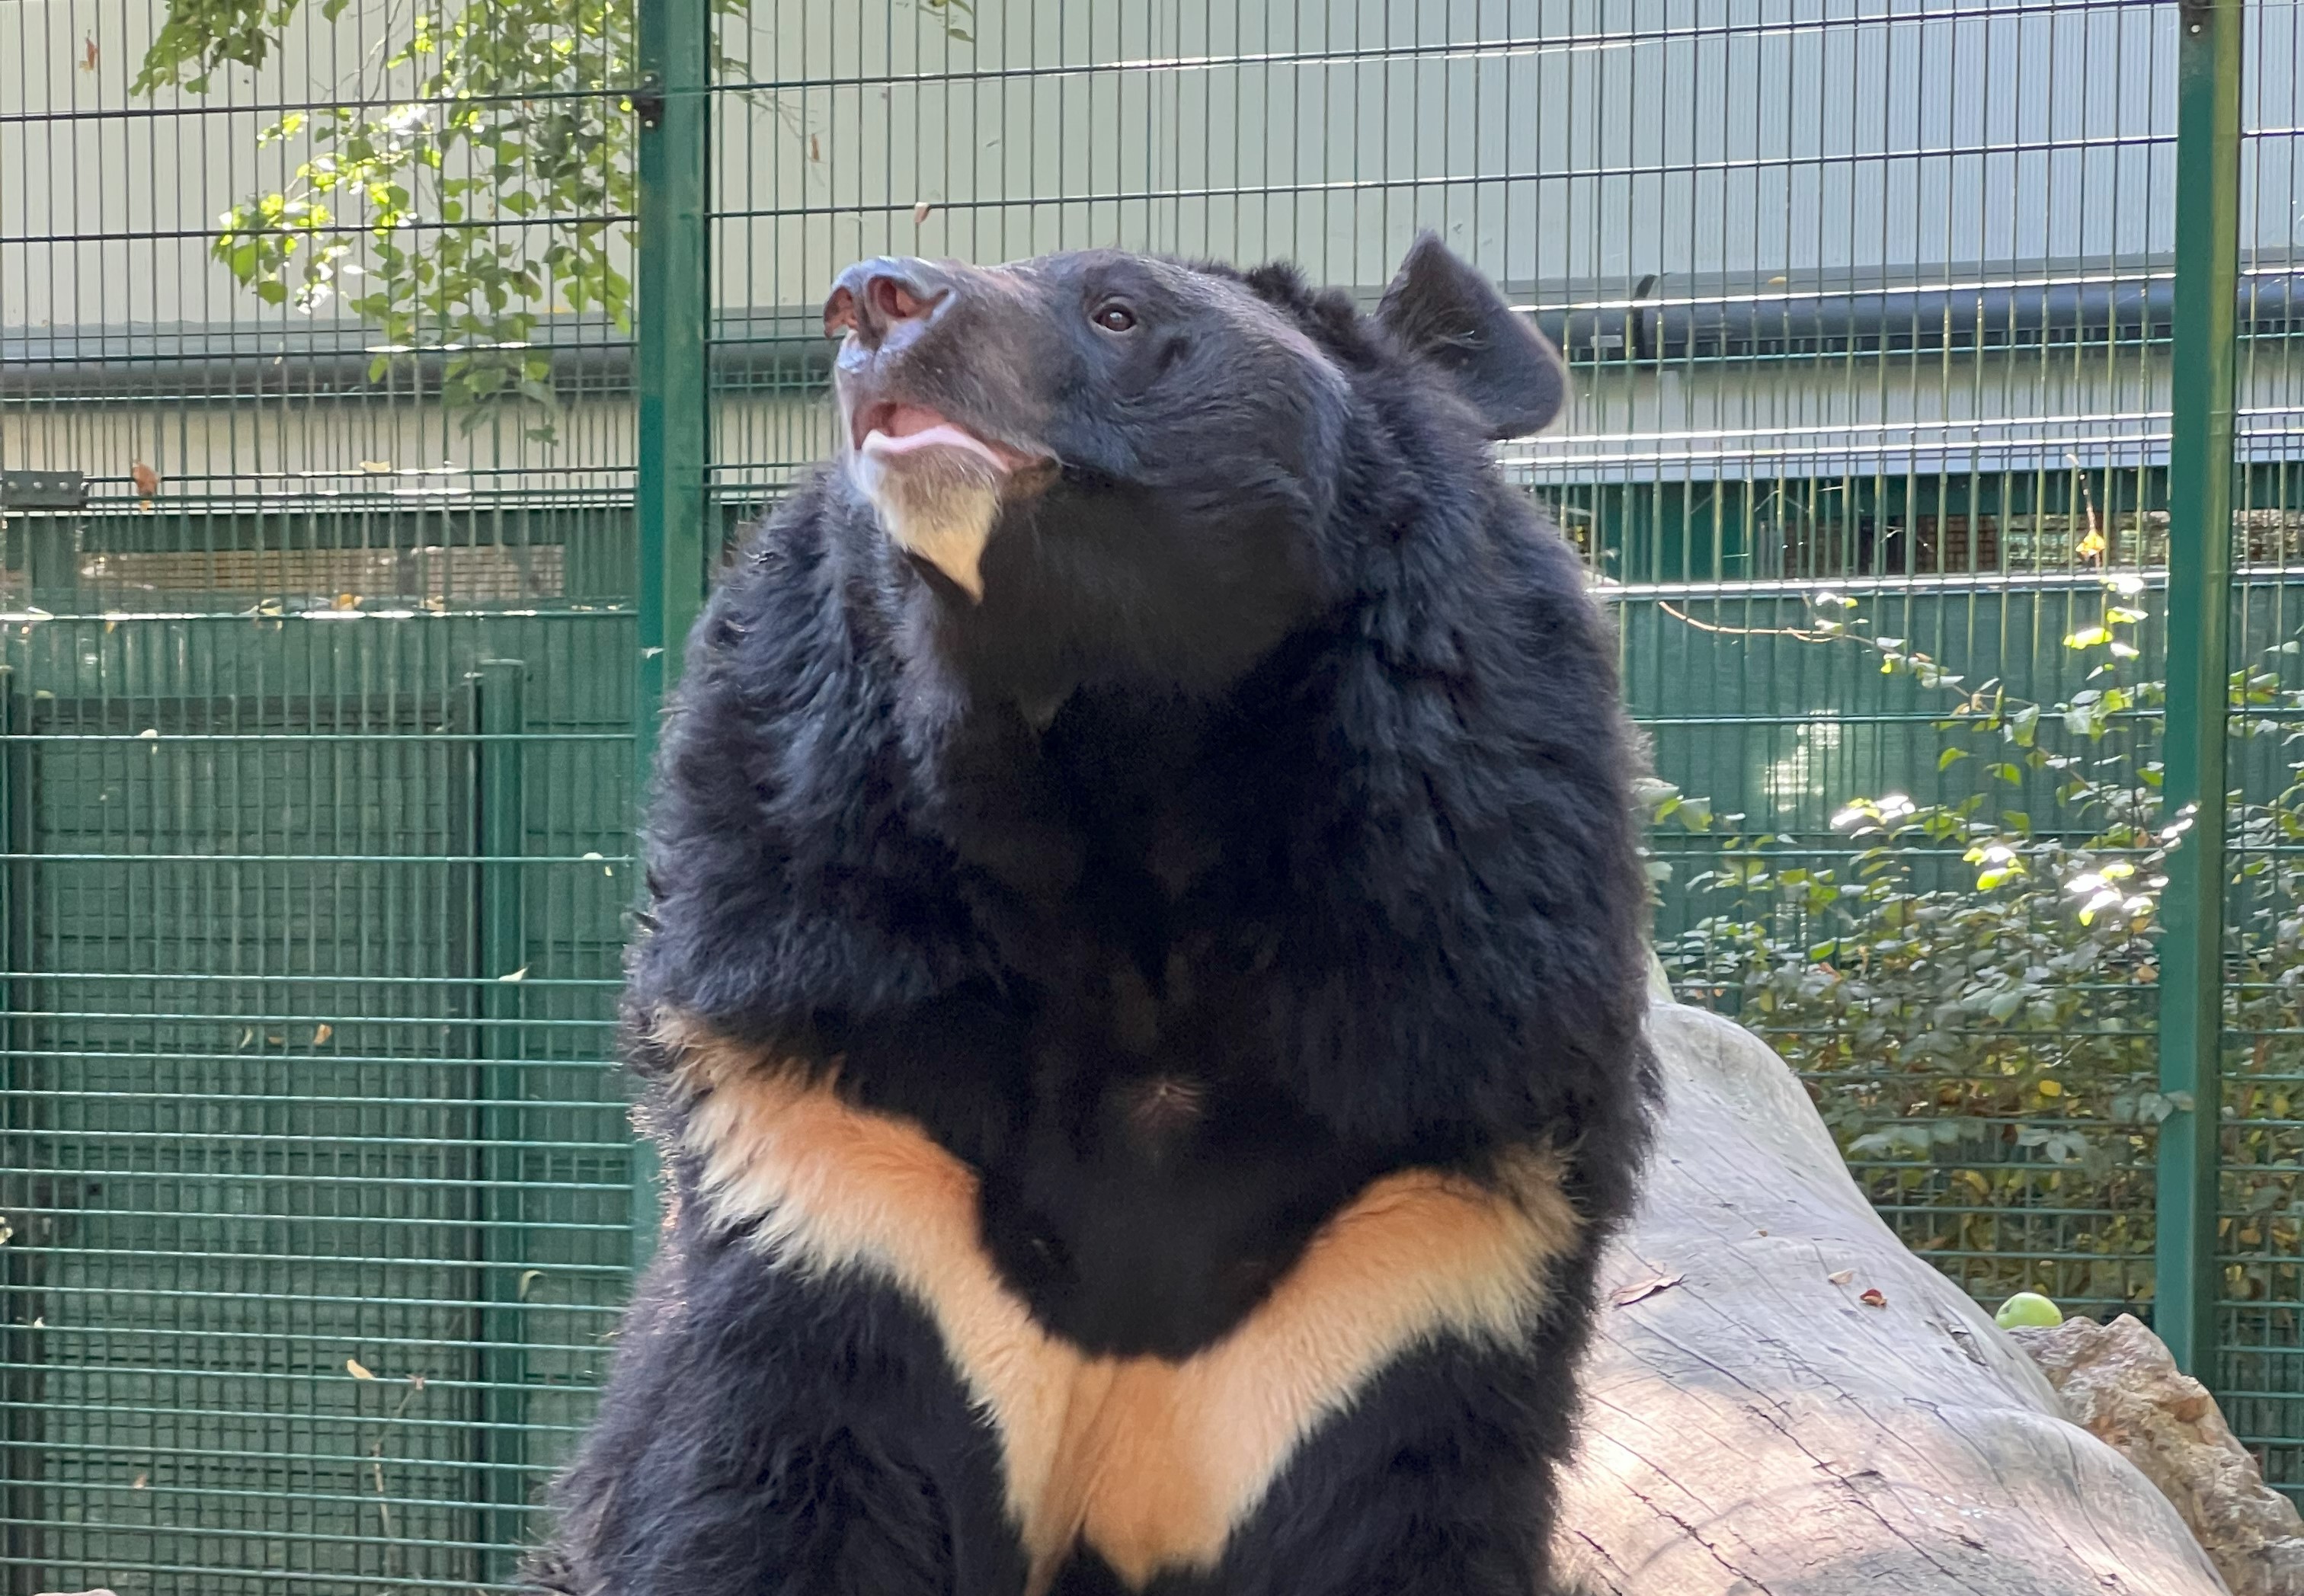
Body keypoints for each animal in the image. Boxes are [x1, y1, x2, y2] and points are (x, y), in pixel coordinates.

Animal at [525, 233, 1654, 1596]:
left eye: (1119, 310)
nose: (869, 302)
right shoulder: (834, 1132)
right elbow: (772, 1482)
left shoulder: (1426, 1208)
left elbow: (1395, 1509)